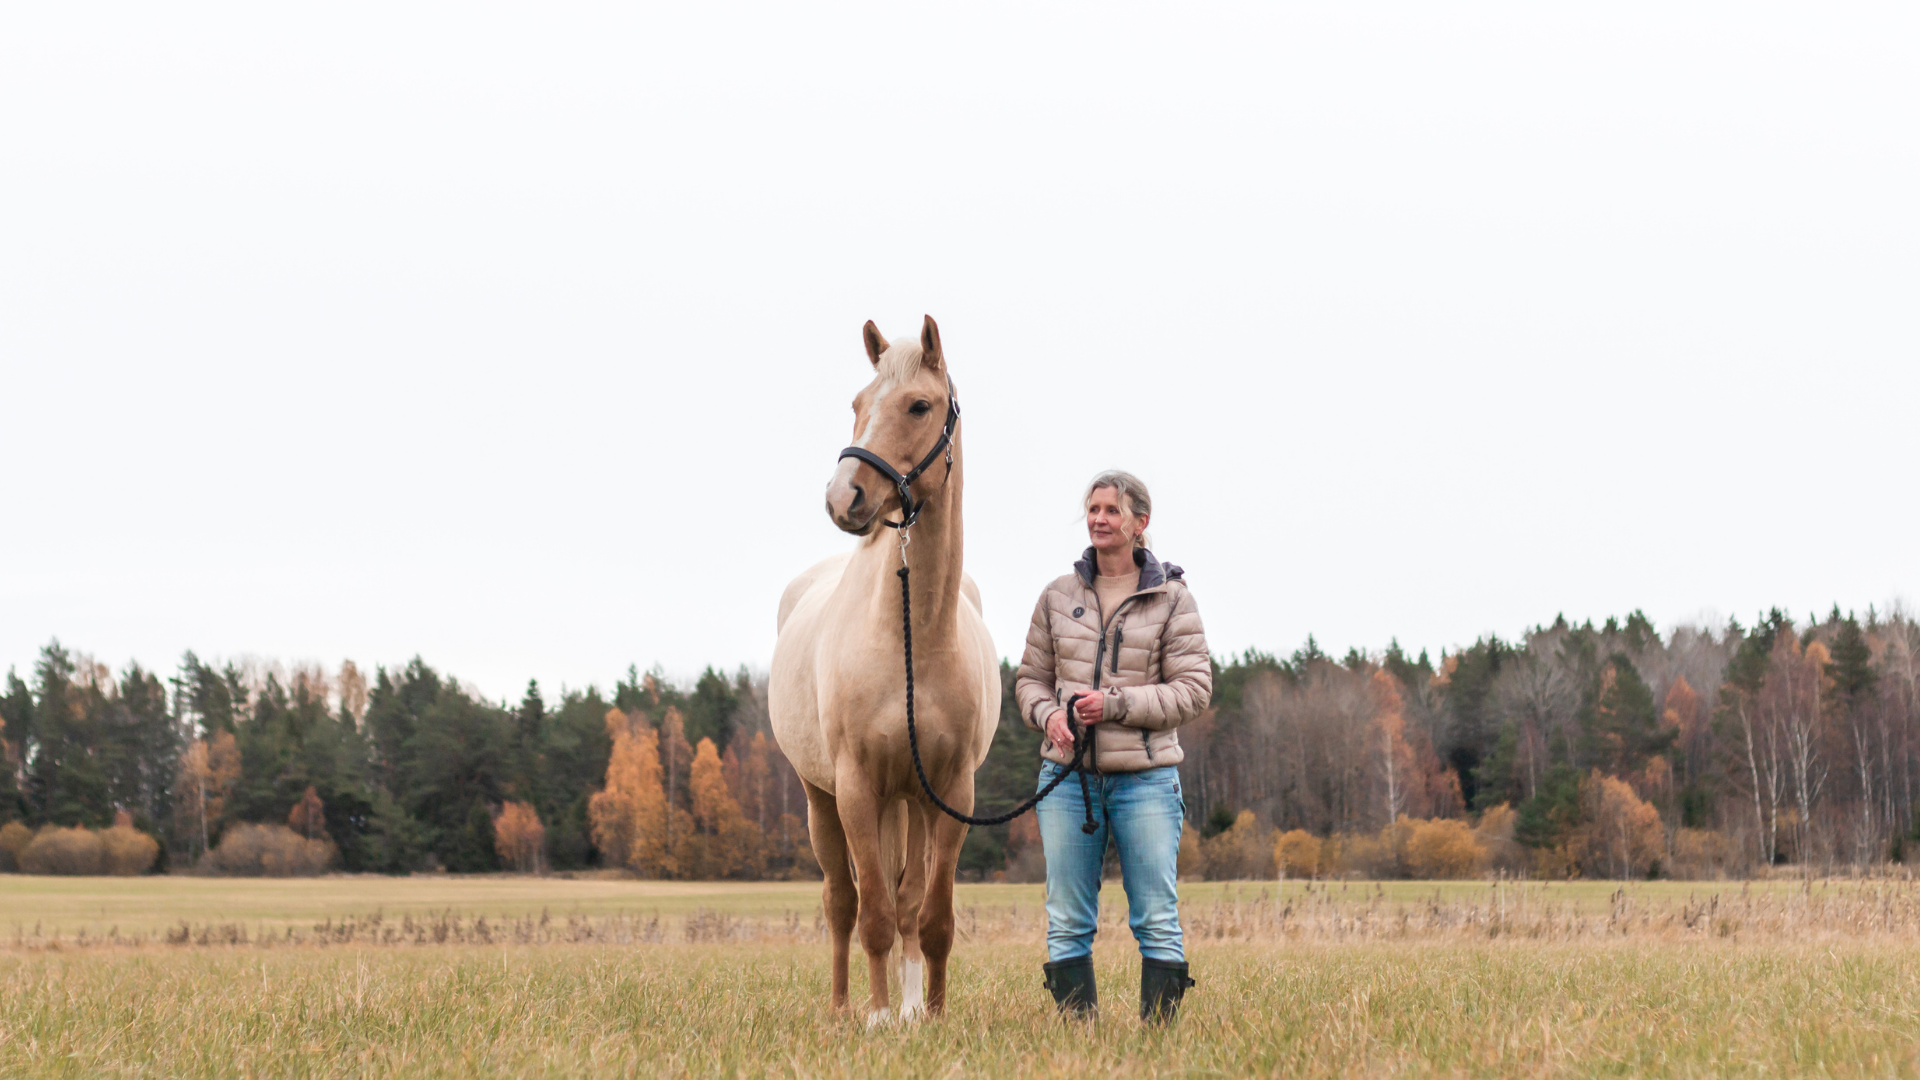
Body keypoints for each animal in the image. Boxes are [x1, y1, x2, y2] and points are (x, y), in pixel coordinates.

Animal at [769, 315, 1000, 1024]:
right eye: (857, 403)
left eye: (918, 405)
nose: (844, 496)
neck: (911, 640)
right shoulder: (855, 789)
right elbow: (869, 912)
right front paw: (874, 1018)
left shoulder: (950, 793)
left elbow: (930, 916)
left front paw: (931, 1015)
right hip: (822, 800)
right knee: (843, 904)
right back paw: (846, 1007)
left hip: (910, 803)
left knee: (905, 902)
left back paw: (907, 1008)